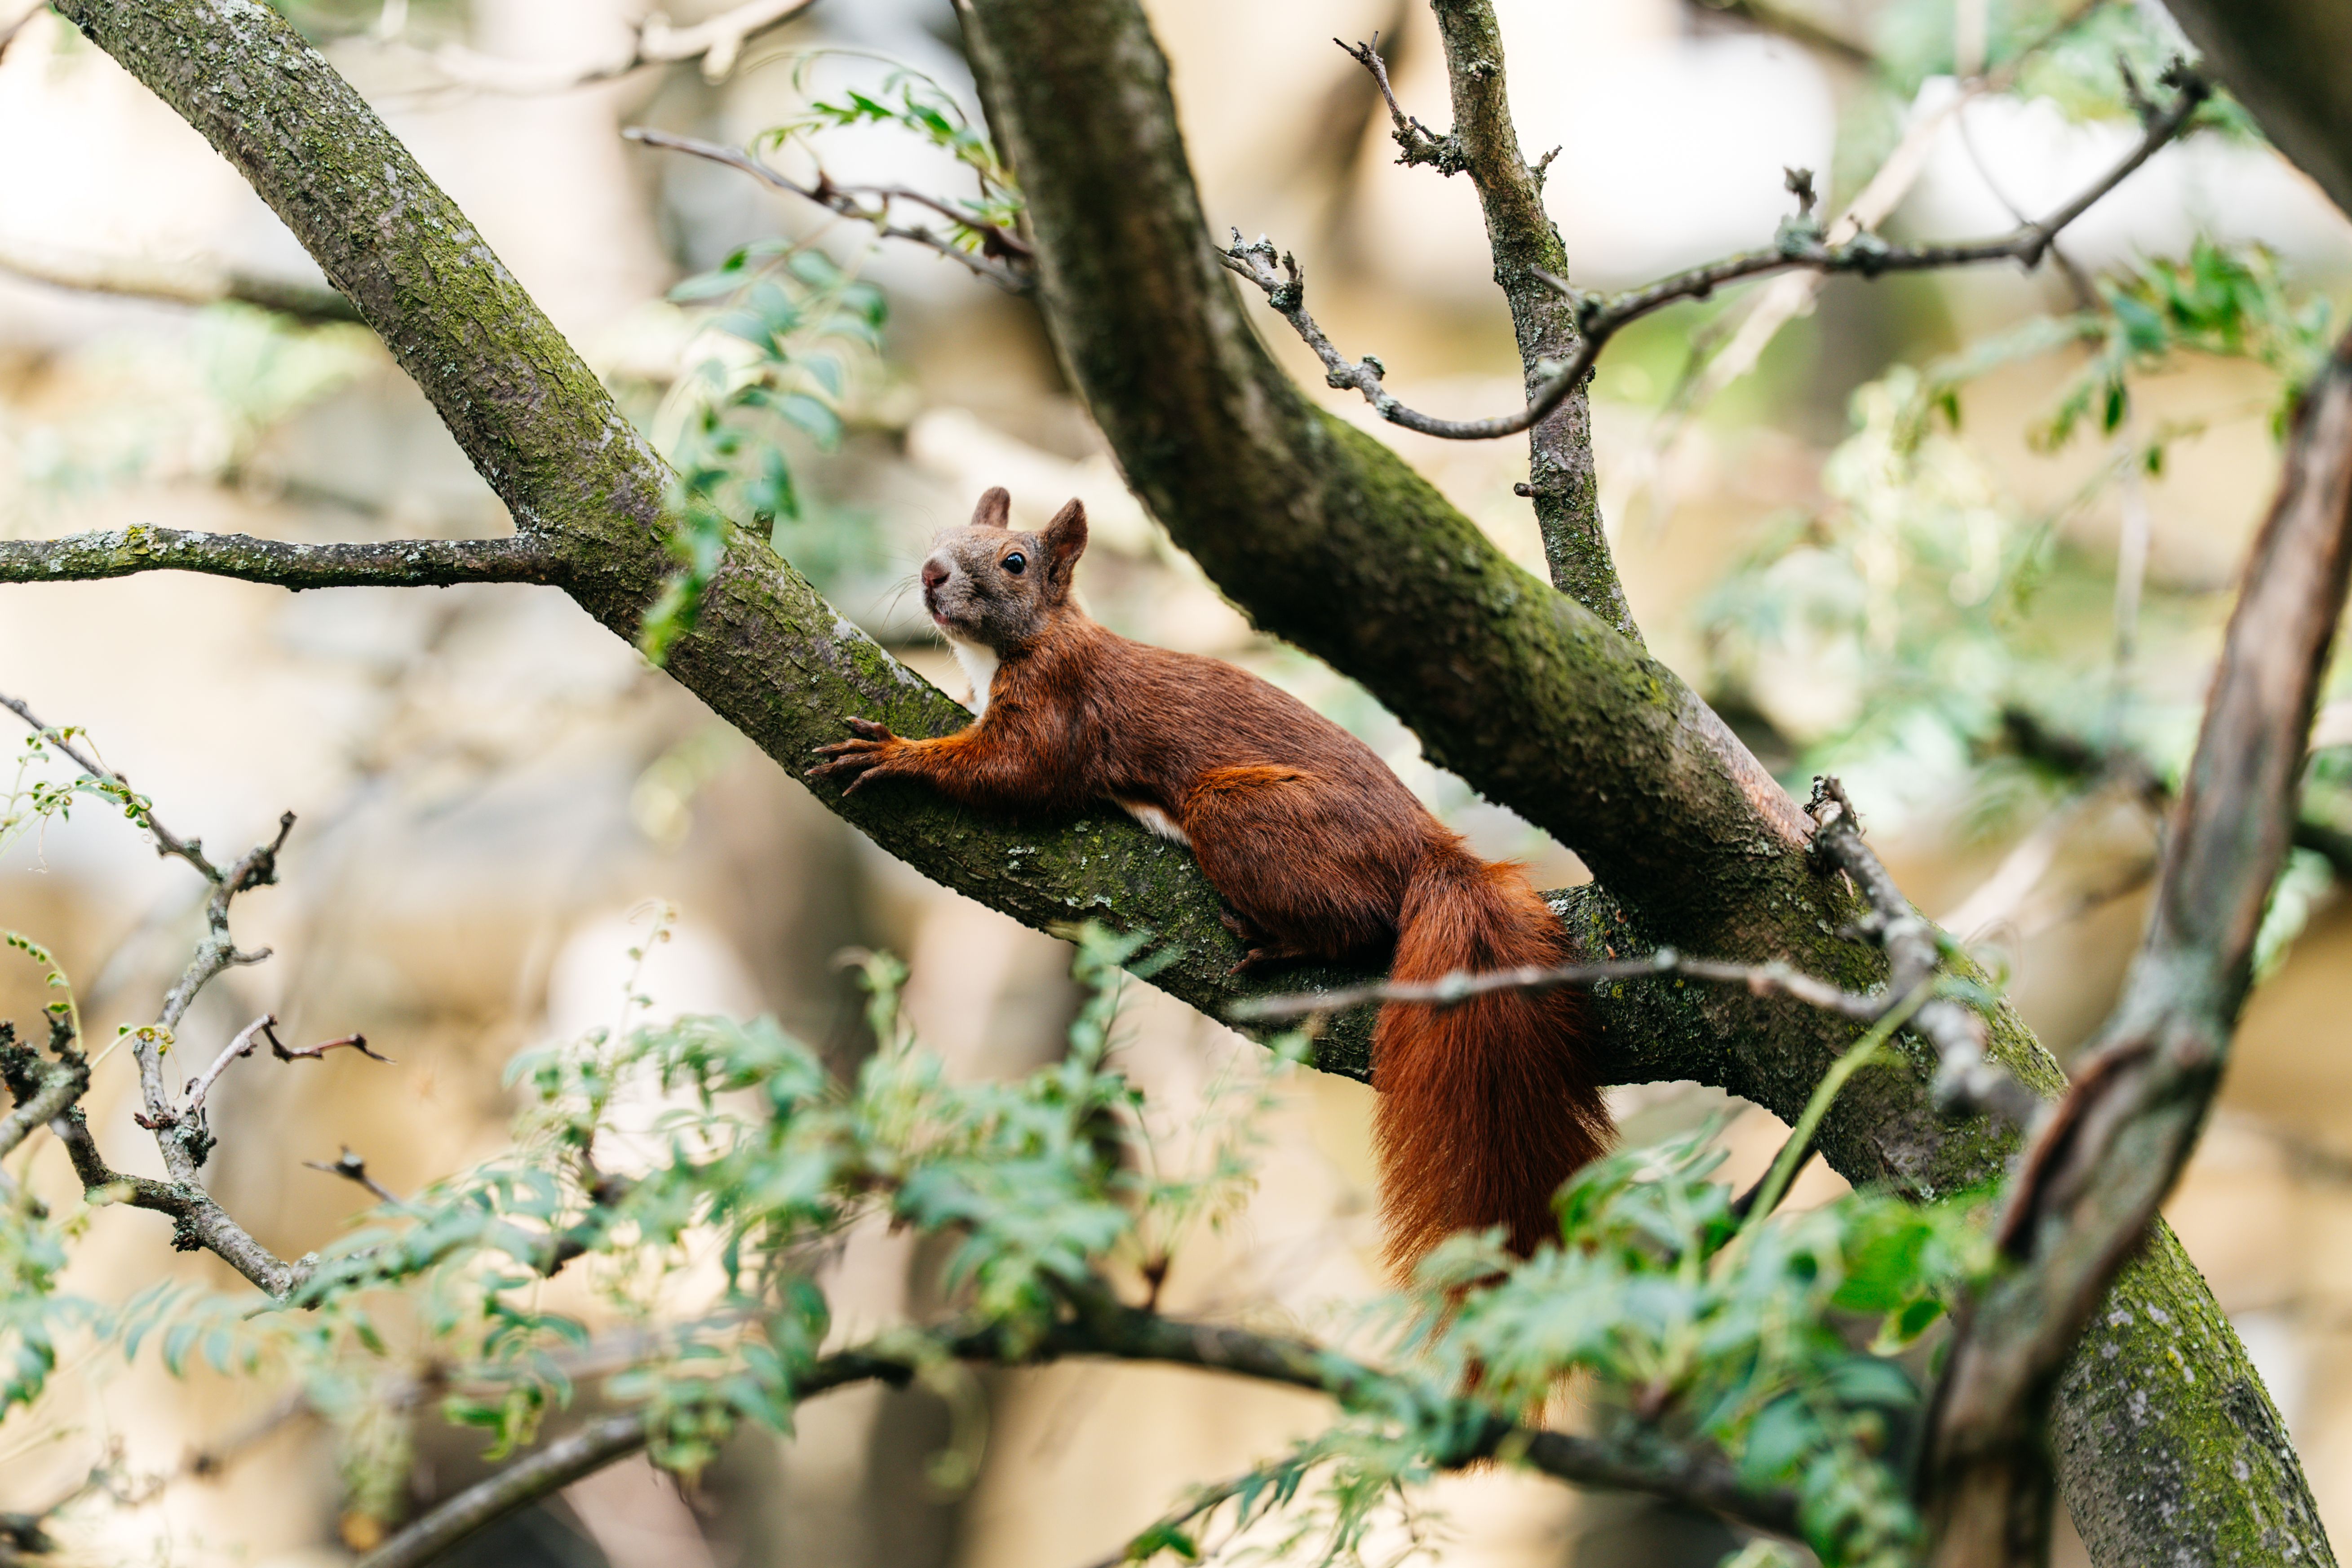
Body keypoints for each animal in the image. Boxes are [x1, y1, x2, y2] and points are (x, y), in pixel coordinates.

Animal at [811, 486, 1612, 1269]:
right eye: (940, 536)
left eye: (1014, 561)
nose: (931, 573)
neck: (1020, 645)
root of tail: (1429, 848)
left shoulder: (1058, 706)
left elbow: (1014, 772)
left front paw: (897, 753)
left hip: (1234, 812)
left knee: (1363, 923)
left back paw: (1279, 942)